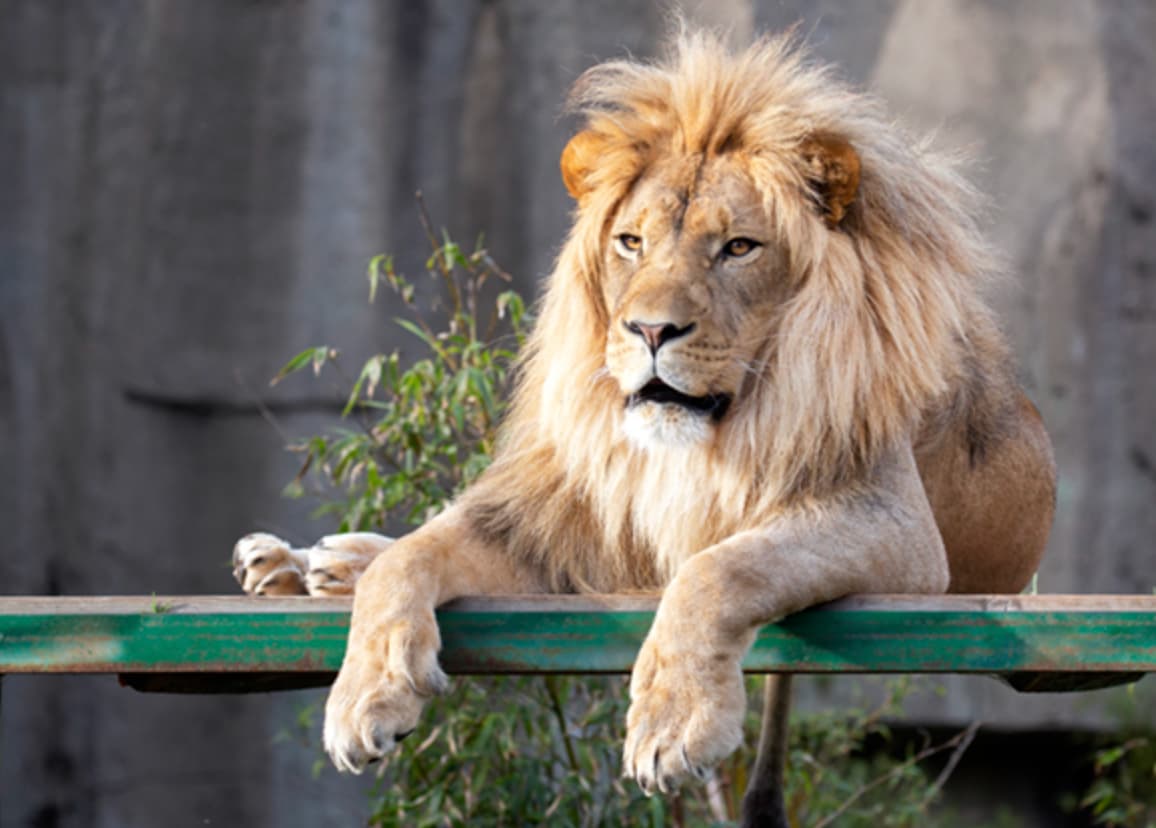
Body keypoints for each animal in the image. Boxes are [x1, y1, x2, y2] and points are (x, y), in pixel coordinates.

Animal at [234, 29, 1058, 823]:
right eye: (631, 242)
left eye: (738, 247)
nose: (651, 330)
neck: (704, 440)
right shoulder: (564, 512)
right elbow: (413, 559)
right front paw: (363, 699)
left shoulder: (895, 527)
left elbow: (721, 568)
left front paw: (674, 722)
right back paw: (300, 562)